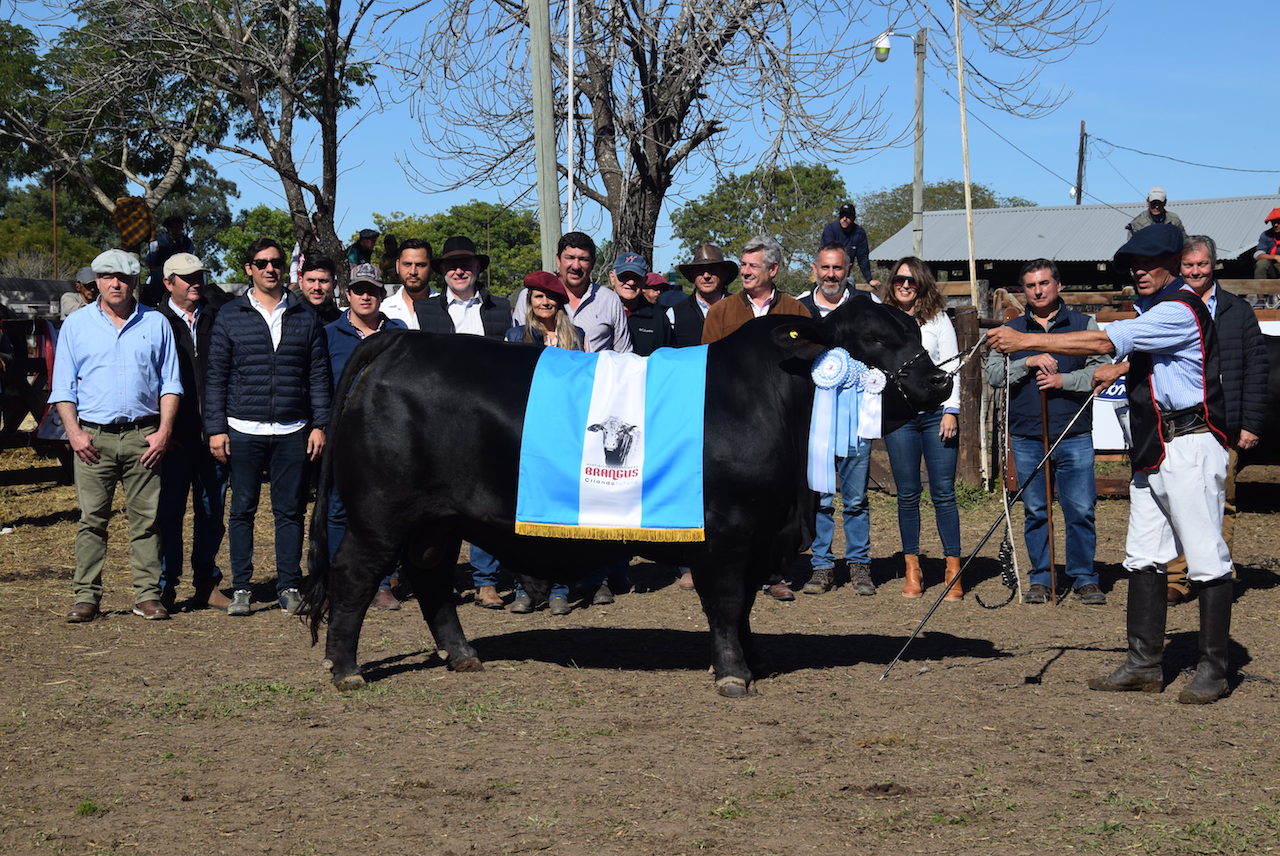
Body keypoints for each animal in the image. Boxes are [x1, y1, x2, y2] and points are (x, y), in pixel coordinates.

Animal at [304, 294, 952, 696]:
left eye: (915, 330)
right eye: (871, 339)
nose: (939, 379)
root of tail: (401, 343)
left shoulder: (761, 533)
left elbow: (745, 605)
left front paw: (755, 660)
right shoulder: (727, 530)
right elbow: (725, 604)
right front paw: (733, 674)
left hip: (436, 520)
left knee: (431, 577)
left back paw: (462, 655)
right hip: (379, 515)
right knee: (353, 574)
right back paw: (345, 670)